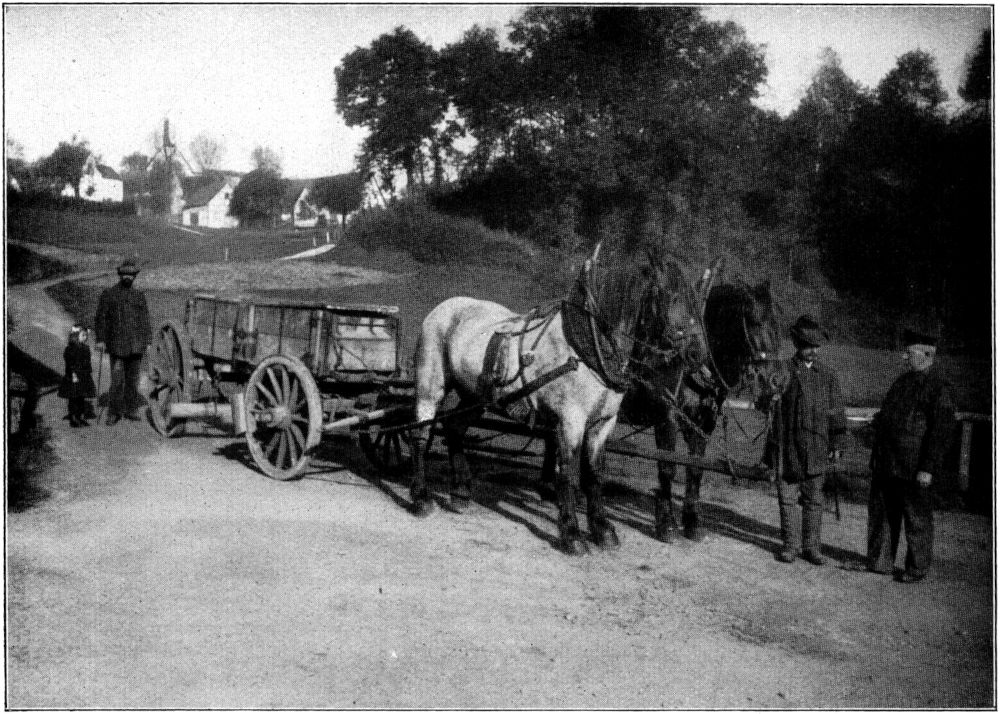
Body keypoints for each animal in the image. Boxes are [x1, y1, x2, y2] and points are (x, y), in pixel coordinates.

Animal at [409, 240, 703, 555]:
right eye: (673, 296)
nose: (697, 354)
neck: (587, 348)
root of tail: (443, 307)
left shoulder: (604, 423)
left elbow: (594, 475)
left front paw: (602, 530)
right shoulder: (570, 421)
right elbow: (568, 474)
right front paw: (572, 535)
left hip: (476, 396)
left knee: (454, 428)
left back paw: (461, 493)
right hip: (431, 385)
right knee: (421, 433)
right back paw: (421, 497)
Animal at [622, 264, 787, 543]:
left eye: (777, 325)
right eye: (754, 321)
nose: (776, 381)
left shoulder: (703, 421)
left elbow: (695, 468)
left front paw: (691, 522)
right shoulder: (666, 416)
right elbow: (667, 467)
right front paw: (666, 524)